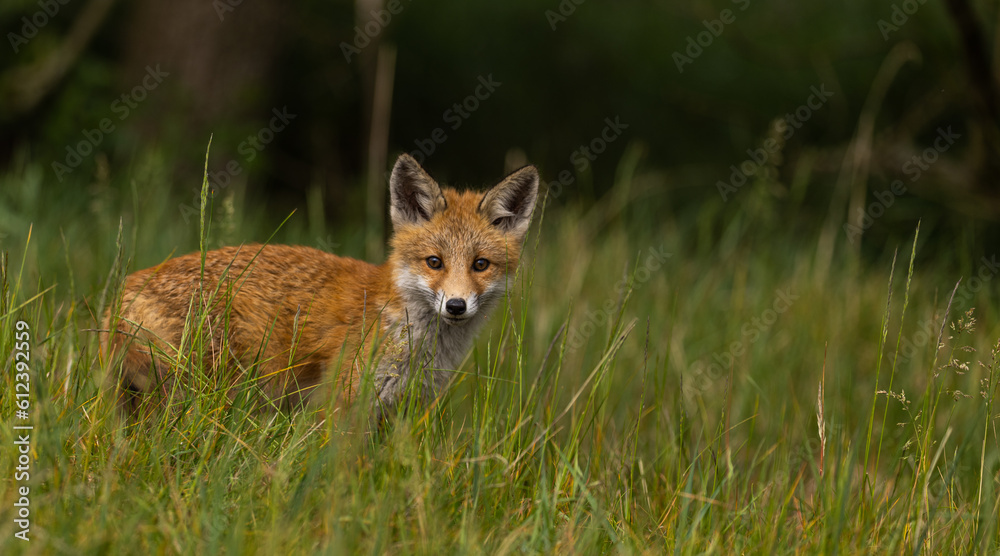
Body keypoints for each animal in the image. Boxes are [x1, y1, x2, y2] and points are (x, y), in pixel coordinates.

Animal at [105, 154, 540, 420]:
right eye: (435, 262)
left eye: (480, 265)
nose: (455, 306)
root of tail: (122, 292)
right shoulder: (341, 404)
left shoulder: (396, 412)